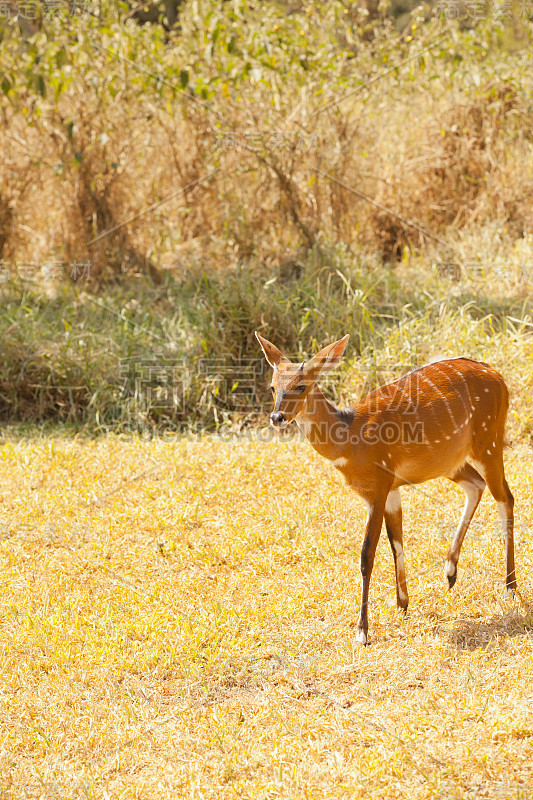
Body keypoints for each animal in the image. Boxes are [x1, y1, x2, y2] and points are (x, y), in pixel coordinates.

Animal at [255, 332, 516, 644]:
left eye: (301, 385)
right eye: (273, 387)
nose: (277, 417)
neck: (349, 441)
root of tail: (498, 375)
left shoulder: (377, 490)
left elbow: (366, 555)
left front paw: (362, 631)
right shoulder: (392, 488)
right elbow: (396, 541)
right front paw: (402, 603)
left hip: (489, 440)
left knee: (505, 497)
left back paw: (509, 587)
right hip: (451, 461)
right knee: (477, 485)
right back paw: (450, 572)